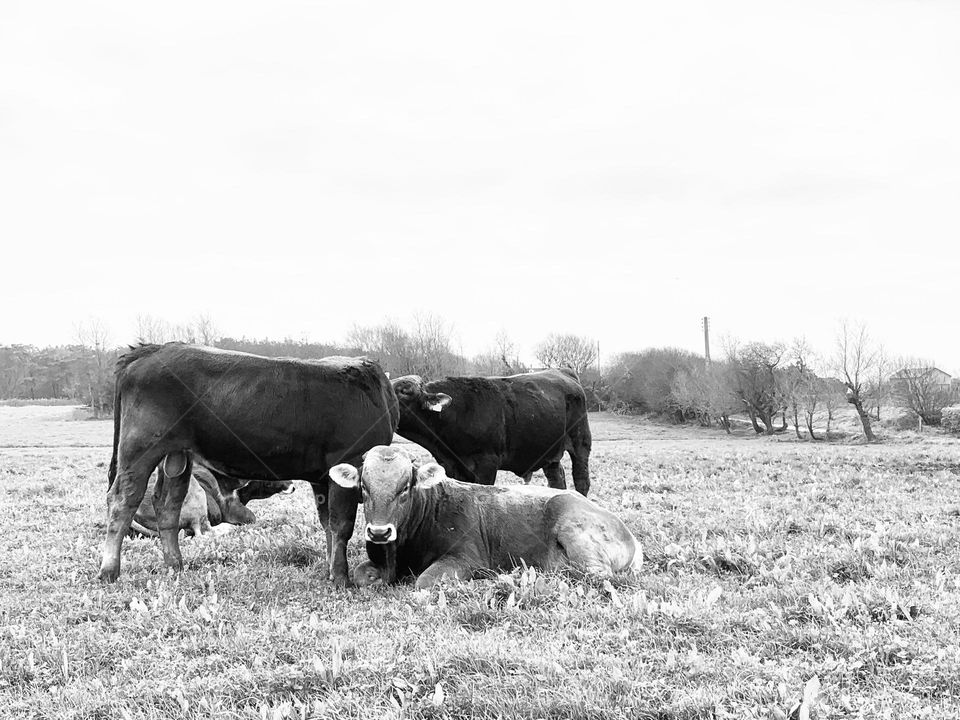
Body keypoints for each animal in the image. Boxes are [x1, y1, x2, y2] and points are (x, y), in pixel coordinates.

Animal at [99, 343, 398, 585]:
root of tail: (151, 349)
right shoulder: (347, 461)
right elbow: (341, 526)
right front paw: (340, 577)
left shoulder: (321, 476)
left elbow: (327, 524)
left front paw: (330, 569)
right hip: (140, 448)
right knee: (123, 500)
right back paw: (109, 571)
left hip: (177, 455)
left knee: (168, 505)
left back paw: (176, 565)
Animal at [329, 445, 642, 589]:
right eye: (363, 486)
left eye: (405, 487)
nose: (379, 532)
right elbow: (359, 574)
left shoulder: (466, 558)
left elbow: (424, 581)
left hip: (574, 530)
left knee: (596, 575)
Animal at [391, 369, 592, 495]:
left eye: (404, 390)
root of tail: (563, 371)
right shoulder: (451, 466)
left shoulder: (486, 463)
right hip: (549, 452)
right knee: (557, 479)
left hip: (581, 444)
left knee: (582, 480)